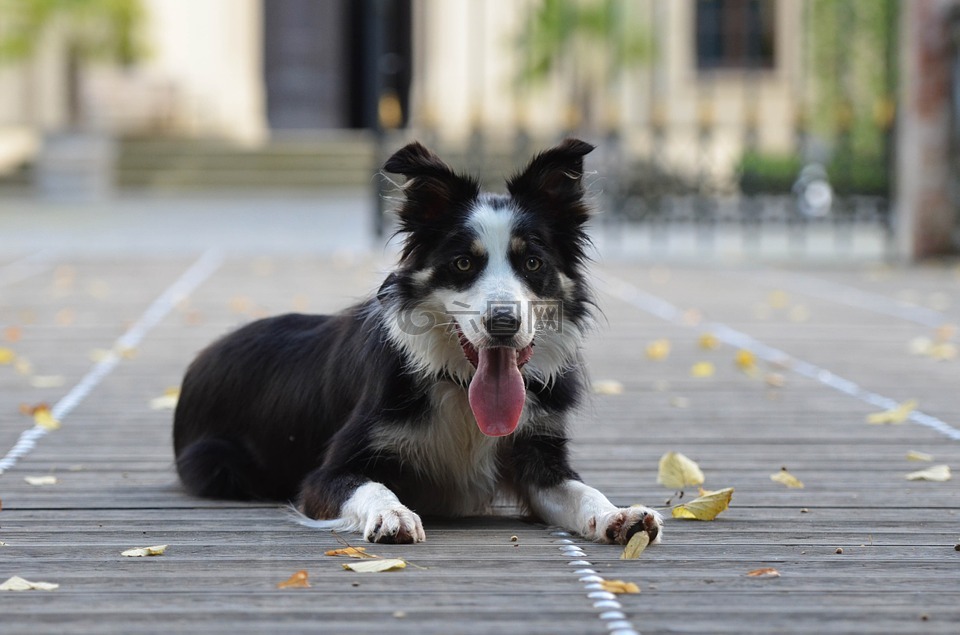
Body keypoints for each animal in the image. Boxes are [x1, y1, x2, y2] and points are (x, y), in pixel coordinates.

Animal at [172, 140, 664, 548]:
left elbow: (582, 490)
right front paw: (393, 515)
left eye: (532, 262)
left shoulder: (539, 453)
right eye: (463, 263)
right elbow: (371, 485)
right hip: (217, 463)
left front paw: (619, 514)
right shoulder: (327, 473)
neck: (460, 389)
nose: (503, 323)